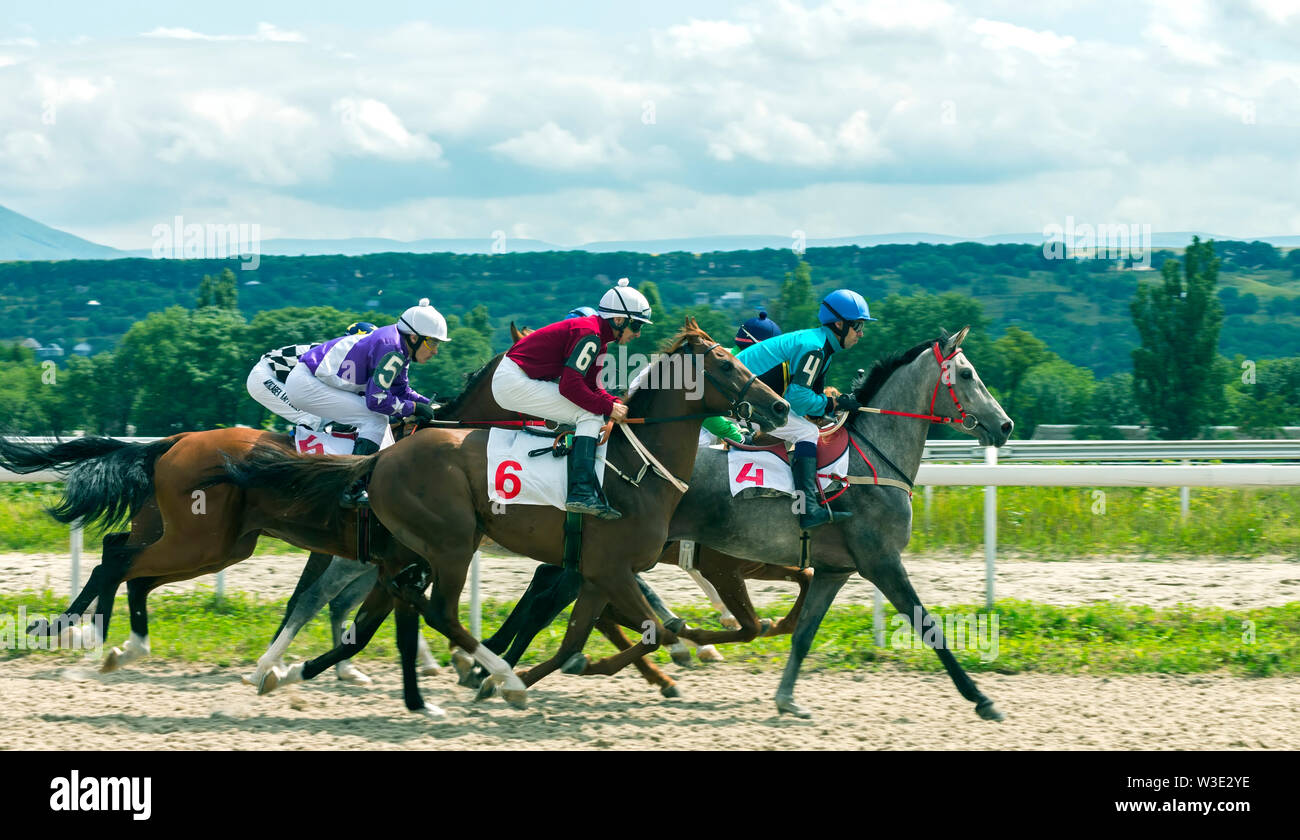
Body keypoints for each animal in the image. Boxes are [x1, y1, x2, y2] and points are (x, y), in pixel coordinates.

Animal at [210, 319, 790, 707]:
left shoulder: (594, 572)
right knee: (396, 606)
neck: (635, 465)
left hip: (410, 552)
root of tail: (378, 460)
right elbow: (658, 628)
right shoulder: (606, 567)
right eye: (725, 363)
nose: (780, 407)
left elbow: (596, 631)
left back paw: (300, 672)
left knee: (379, 605)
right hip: (448, 545)